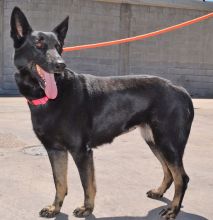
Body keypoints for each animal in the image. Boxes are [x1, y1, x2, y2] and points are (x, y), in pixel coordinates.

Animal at [10, 6, 194, 220]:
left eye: (58, 46)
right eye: (38, 44)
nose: (61, 64)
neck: (49, 97)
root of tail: (182, 90)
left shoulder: (81, 151)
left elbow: (87, 184)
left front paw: (87, 208)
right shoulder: (55, 150)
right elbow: (60, 182)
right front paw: (55, 208)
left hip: (168, 143)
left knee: (182, 177)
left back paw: (173, 209)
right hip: (154, 140)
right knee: (169, 172)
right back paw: (159, 192)